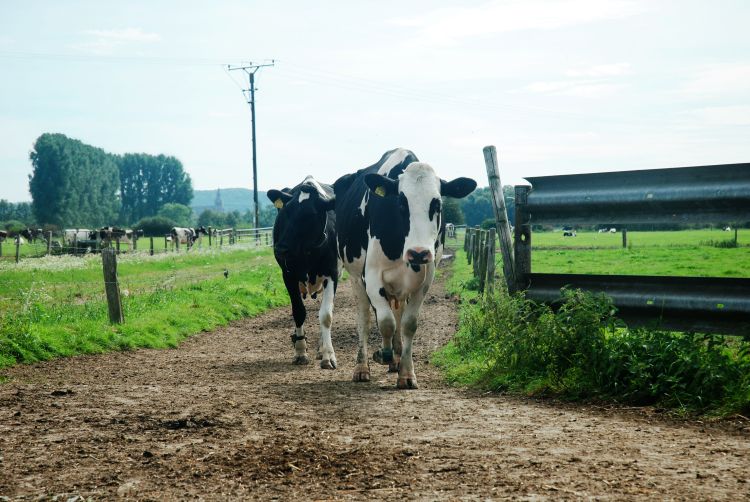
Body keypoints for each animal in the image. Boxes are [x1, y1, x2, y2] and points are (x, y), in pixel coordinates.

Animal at [267, 176, 340, 369]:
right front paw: (300, 349)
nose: (281, 248)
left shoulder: (333, 273)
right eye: (285, 212)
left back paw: (321, 348)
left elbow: (326, 315)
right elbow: (298, 311)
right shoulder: (288, 274)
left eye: (309, 215)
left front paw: (328, 355)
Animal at [334, 148, 476, 389]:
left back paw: (397, 358)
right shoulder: (371, 276)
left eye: (437, 205)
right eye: (401, 204)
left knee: (398, 314)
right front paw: (383, 354)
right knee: (365, 319)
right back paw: (363, 367)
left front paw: (407, 373)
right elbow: (385, 322)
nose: (418, 253)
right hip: (355, 278)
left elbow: (408, 324)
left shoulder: (425, 280)